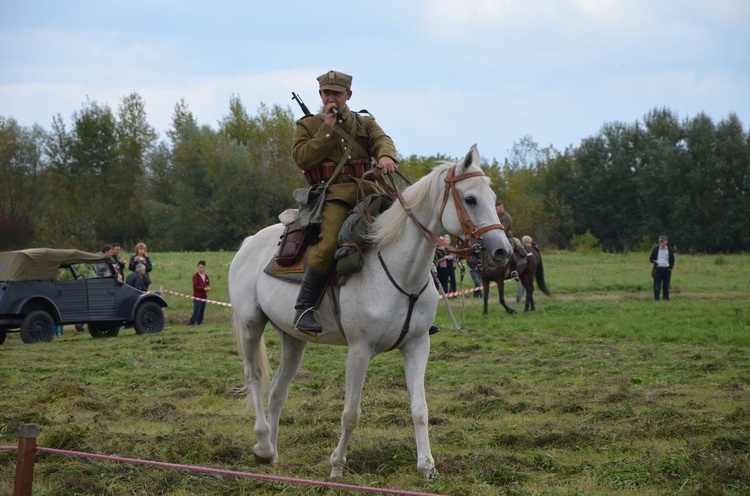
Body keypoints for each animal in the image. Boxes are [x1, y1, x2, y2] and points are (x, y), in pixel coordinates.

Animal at [229, 144, 512, 480]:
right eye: (470, 199)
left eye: (492, 198)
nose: (503, 250)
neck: (400, 271)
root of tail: (249, 243)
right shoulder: (359, 350)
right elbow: (351, 413)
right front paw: (337, 465)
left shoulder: (418, 346)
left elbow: (420, 409)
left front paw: (427, 466)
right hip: (250, 324)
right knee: (255, 377)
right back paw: (261, 445)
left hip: (293, 338)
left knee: (276, 392)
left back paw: (271, 454)